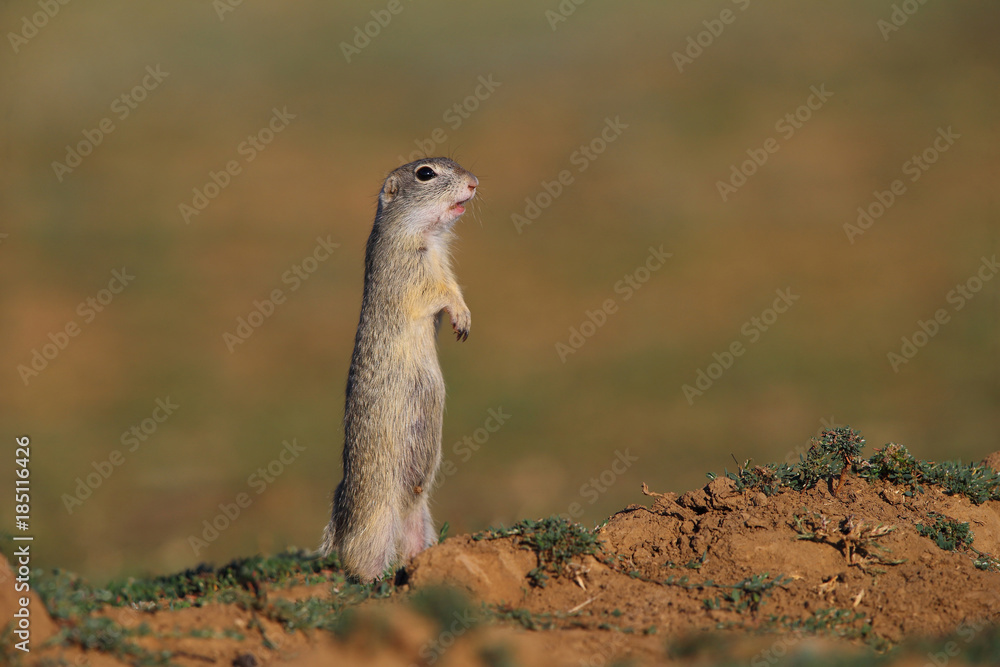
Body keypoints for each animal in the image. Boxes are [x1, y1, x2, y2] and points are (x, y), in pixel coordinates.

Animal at [321, 157, 478, 582]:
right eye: (425, 174)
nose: (474, 182)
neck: (428, 235)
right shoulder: (410, 268)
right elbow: (437, 292)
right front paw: (460, 317)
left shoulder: (443, 263)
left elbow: (453, 286)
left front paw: (464, 320)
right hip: (376, 521)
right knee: (358, 559)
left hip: (419, 520)